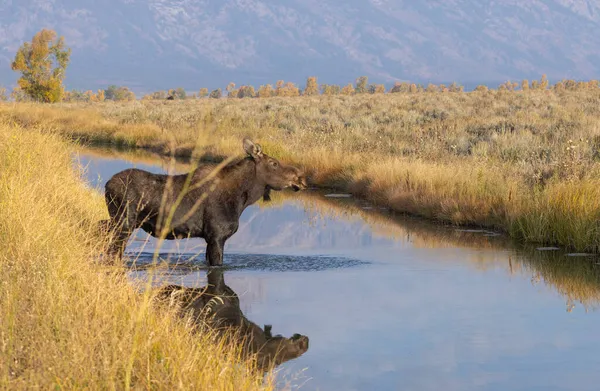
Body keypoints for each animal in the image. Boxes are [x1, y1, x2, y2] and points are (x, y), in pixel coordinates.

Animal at [103, 139, 308, 266]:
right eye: (274, 163)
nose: (301, 179)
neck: (243, 198)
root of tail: (107, 185)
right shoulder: (216, 235)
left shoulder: (211, 238)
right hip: (124, 223)